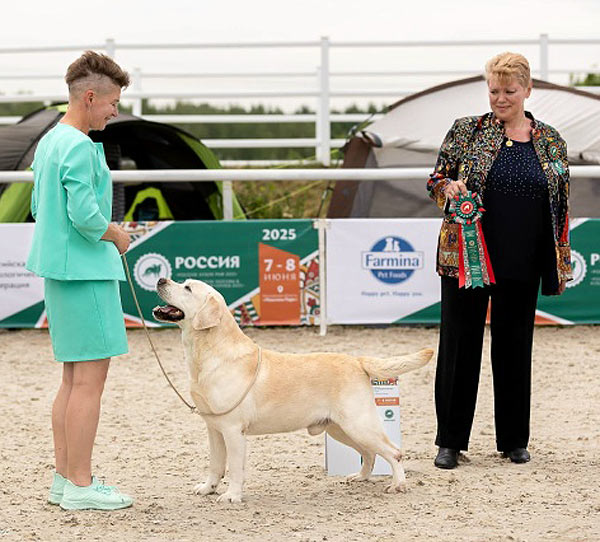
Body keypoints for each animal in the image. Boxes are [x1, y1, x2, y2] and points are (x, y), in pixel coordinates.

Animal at [153, 278, 433, 503]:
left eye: (187, 288)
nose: (161, 279)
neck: (207, 352)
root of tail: (357, 360)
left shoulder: (233, 429)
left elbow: (234, 468)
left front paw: (232, 495)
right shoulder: (213, 428)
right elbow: (215, 464)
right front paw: (208, 488)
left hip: (359, 424)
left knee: (394, 452)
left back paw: (398, 484)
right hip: (340, 429)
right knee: (370, 453)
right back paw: (360, 477)